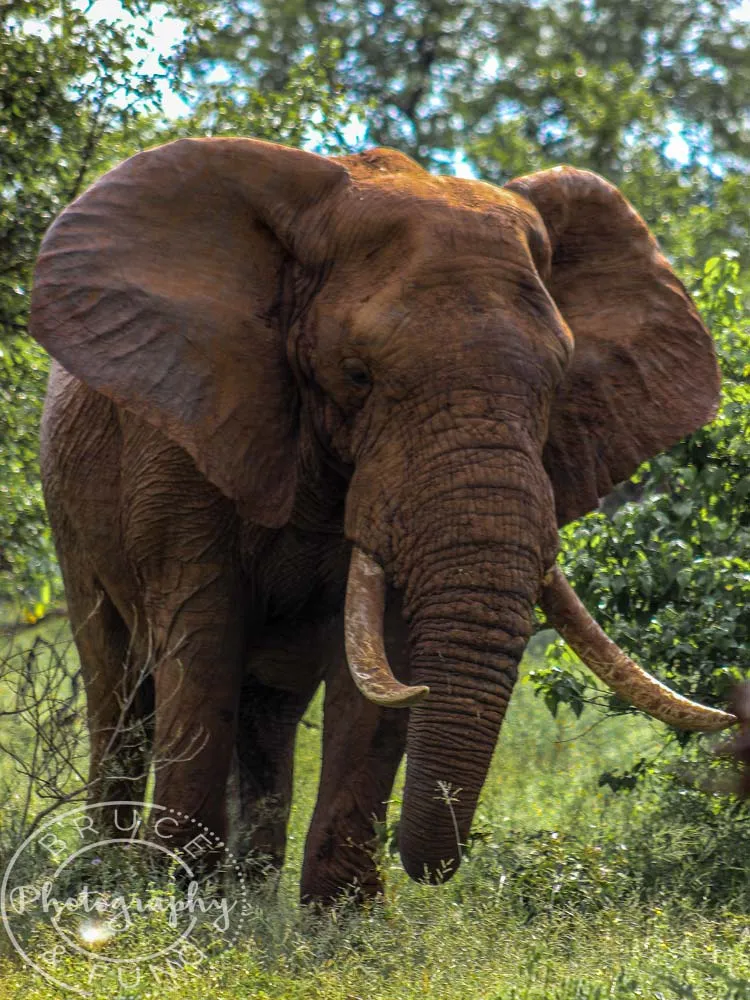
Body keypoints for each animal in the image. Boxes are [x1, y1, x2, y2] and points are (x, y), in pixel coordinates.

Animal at [29, 137, 738, 904]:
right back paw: (110, 878)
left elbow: (376, 677)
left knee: (266, 712)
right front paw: (174, 903)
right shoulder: (183, 439)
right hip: (70, 512)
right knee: (118, 688)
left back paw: (247, 896)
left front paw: (335, 925)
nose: (433, 866)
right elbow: (204, 644)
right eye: (357, 374)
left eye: (557, 382)